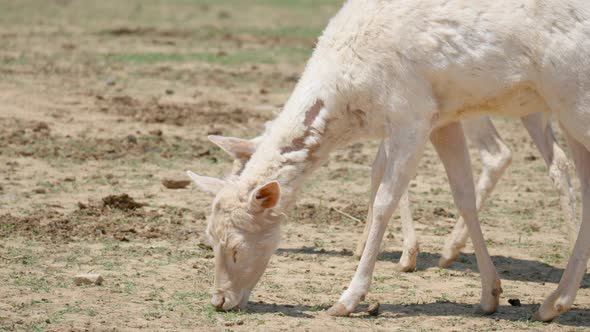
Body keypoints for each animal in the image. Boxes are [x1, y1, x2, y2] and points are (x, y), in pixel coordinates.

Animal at [188, 0, 590, 322]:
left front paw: (348, 299)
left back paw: (557, 299)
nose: (219, 301)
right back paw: (554, 302)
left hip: (574, 100)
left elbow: (385, 199)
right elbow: (462, 195)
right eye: (209, 238)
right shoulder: (442, 118)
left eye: (236, 248)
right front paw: (489, 294)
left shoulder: (410, 113)